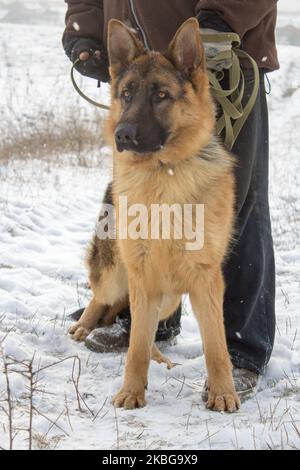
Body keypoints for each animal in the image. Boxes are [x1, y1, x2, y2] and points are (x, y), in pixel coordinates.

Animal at [69, 19, 240, 412]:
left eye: (161, 95)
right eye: (126, 94)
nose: (123, 135)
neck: (164, 175)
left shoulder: (206, 280)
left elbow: (216, 346)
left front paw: (223, 392)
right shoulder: (141, 278)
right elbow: (135, 347)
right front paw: (131, 392)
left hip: (169, 298)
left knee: (134, 322)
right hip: (119, 275)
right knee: (103, 298)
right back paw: (84, 325)